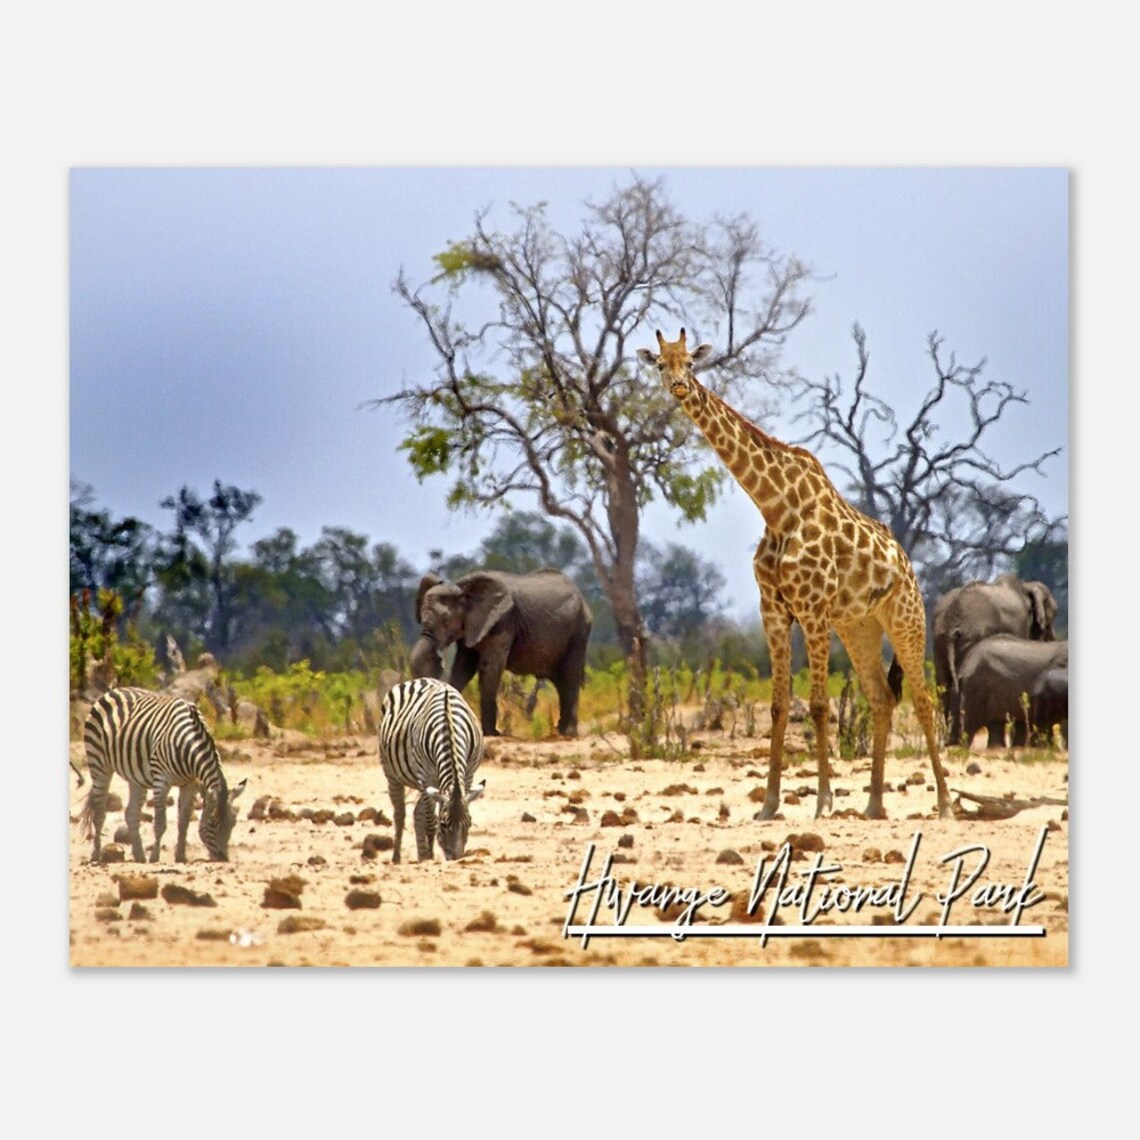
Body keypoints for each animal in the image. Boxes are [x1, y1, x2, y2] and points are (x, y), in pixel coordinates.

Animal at [80, 686, 247, 863]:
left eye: (233, 823)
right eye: (212, 824)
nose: (223, 858)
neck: (188, 745)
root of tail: (113, 690)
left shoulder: (190, 784)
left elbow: (184, 822)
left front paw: (180, 856)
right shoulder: (161, 781)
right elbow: (160, 823)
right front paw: (155, 857)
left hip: (135, 777)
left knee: (131, 813)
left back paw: (139, 856)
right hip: (98, 764)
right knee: (99, 811)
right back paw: (96, 855)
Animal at [378, 677, 486, 863]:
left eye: (469, 823)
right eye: (444, 825)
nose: (455, 859)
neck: (449, 727)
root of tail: (419, 679)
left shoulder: (468, 775)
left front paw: (428, 855)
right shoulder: (426, 776)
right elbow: (430, 821)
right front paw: (430, 856)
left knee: (417, 813)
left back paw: (421, 856)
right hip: (391, 772)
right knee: (400, 814)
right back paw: (397, 857)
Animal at [413, 568, 593, 737]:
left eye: (445, 621)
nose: (439, 660)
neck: (462, 589)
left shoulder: (503, 622)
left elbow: (489, 668)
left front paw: (491, 733)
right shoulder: (471, 626)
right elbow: (463, 667)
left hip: (578, 632)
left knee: (570, 675)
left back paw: (568, 734)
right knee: (561, 682)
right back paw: (560, 732)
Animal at [637, 329, 950, 820]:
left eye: (690, 362)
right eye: (659, 364)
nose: (680, 387)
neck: (776, 508)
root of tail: (907, 563)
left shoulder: (813, 608)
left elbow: (820, 705)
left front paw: (823, 802)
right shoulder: (774, 610)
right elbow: (779, 705)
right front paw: (768, 805)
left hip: (905, 618)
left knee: (922, 698)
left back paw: (944, 803)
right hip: (858, 626)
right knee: (882, 698)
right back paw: (873, 805)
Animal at [932, 573, 1058, 744]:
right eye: (1050, 620)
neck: (1027, 586)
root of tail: (951, 620)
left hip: (940, 642)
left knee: (944, 689)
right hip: (973, 637)